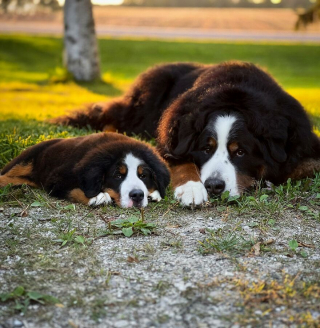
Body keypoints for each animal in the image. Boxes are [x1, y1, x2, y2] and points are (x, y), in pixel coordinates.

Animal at [0, 131, 170, 206]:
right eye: (118, 176)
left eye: (143, 176)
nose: (137, 195)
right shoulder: (57, 180)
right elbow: (74, 190)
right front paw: (97, 197)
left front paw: (154, 194)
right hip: (24, 161)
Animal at [52, 61, 320, 205]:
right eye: (206, 149)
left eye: (241, 152)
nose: (214, 186)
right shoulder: (172, 139)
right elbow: (181, 162)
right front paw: (192, 188)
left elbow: (308, 165)